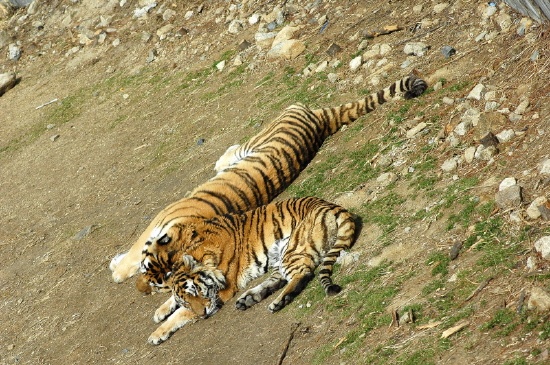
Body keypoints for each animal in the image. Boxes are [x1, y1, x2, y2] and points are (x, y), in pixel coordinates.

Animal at [112, 74, 430, 290]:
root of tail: (320, 121)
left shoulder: (159, 219)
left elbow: (135, 249)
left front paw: (117, 268)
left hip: (258, 138)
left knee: (236, 148)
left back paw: (221, 162)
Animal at [144, 196, 356, 344]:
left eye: (195, 291)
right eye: (186, 299)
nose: (203, 315)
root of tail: (332, 205)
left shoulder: (223, 291)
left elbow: (180, 315)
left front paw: (156, 334)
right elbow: (173, 300)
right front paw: (160, 311)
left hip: (293, 249)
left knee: (302, 274)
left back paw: (278, 302)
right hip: (282, 255)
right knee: (277, 280)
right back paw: (249, 298)